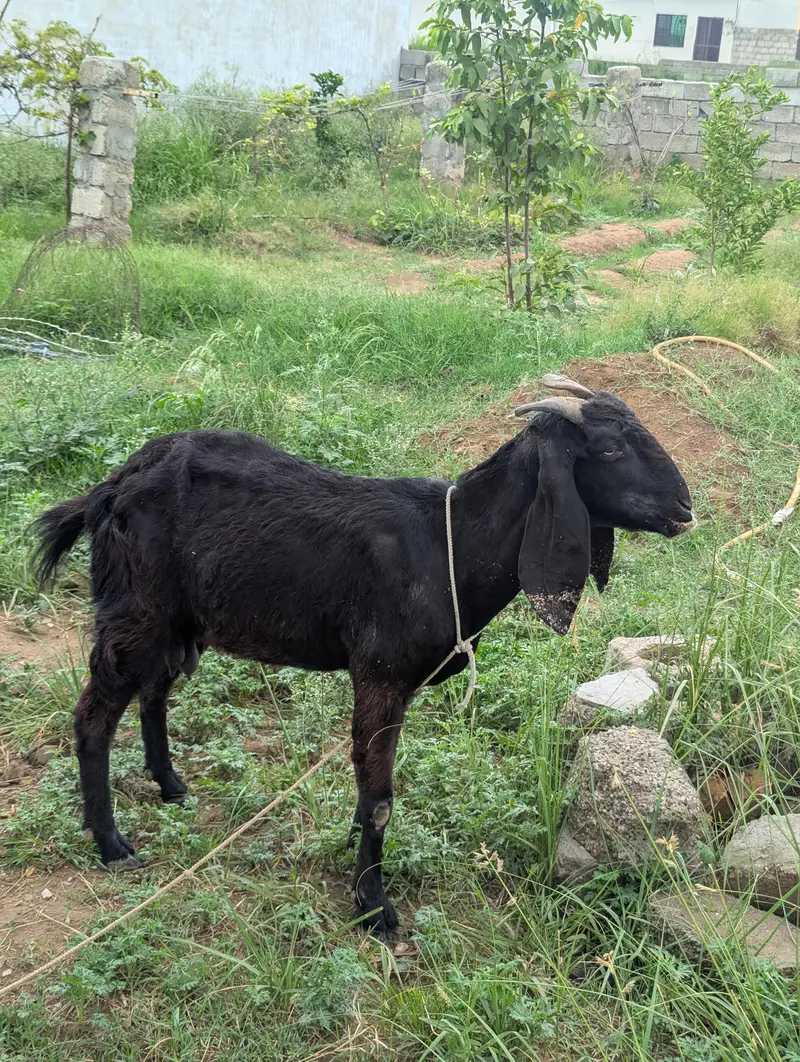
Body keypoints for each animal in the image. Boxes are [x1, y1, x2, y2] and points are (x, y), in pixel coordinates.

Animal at [32, 375, 693, 937]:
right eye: (609, 450)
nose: (685, 509)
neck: (448, 545)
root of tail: (110, 487)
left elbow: (367, 784)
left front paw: (353, 849)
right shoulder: (380, 674)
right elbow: (379, 800)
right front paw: (373, 905)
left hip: (175, 622)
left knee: (155, 693)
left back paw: (170, 786)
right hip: (136, 614)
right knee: (95, 716)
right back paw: (111, 844)